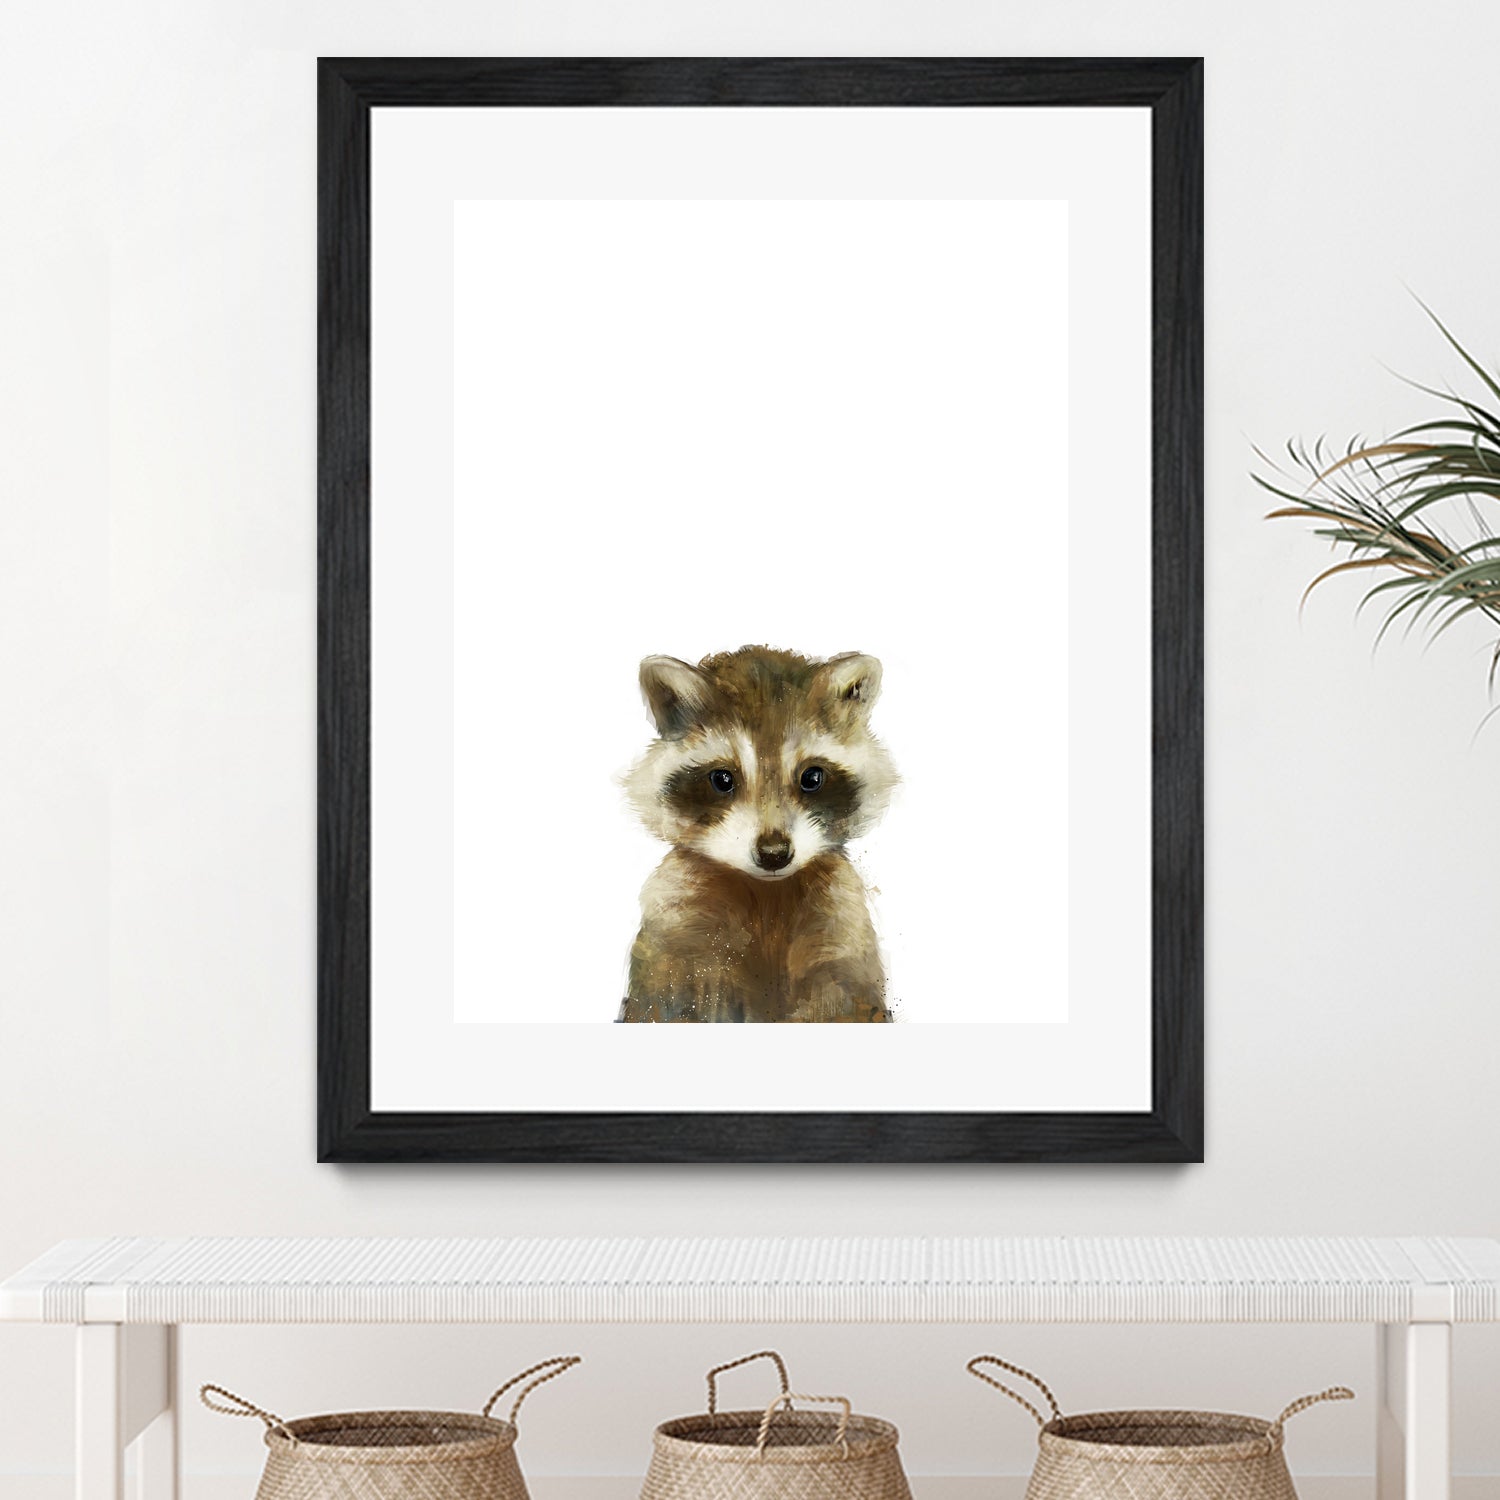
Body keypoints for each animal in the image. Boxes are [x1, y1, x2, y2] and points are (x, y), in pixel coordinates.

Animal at [618, 646, 898, 1024]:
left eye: (812, 777)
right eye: (722, 779)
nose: (774, 853)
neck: (767, 894)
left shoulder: (841, 928)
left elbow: (845, 1001)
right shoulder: (676, 930)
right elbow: (668, 1001)